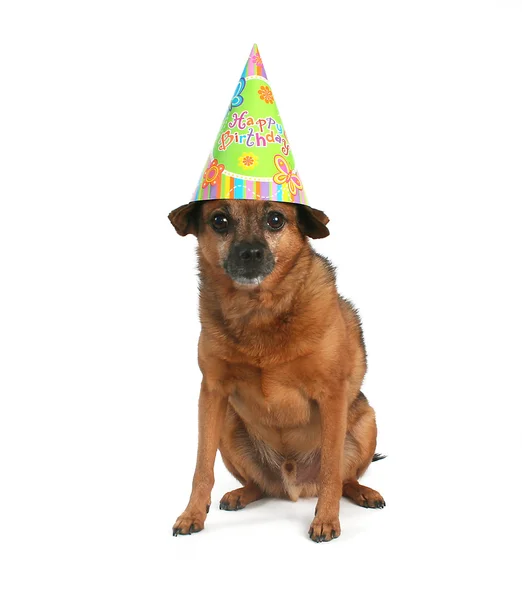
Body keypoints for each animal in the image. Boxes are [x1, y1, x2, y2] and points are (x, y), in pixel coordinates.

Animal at [169, 199, 384, 540]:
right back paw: (240, 494)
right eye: (219, 220)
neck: (259, 311)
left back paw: (363, 492)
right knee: (259, 484)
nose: (250, 253)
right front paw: (192, 514)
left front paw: (326, 519)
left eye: (275, 219)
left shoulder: (332, 396)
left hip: (366, 421)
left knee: (344, 477)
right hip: (228, 425)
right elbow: (202, 467)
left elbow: (331, 469)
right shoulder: (212, 394)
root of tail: (293, 485)